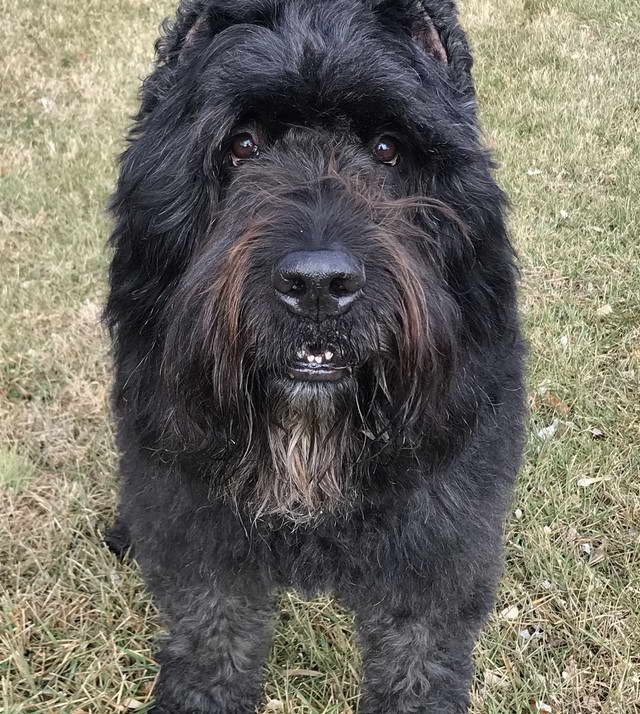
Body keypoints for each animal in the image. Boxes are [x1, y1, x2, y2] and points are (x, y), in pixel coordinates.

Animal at [104, 2, 524, 708]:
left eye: (387, 148)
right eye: (243, 144)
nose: (319, 285)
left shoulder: (435, 551)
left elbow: (417, 662)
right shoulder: (197, 533)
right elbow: (212, 644)